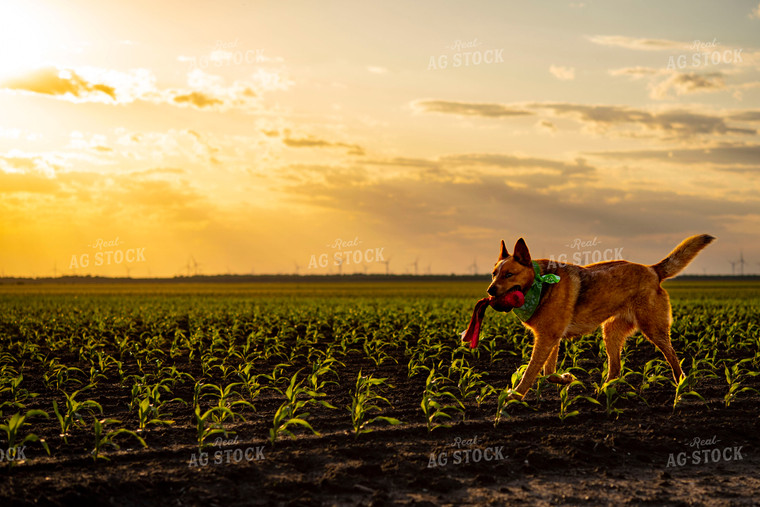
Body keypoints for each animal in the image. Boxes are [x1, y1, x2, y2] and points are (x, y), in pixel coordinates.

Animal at [486, 235, 720, 400]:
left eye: (509, 275)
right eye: (493, 274)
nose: (489, 290)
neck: (540, 285)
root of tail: (652, 270)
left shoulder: (547, 339)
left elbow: (531, 371)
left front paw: (514, 397)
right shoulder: (550, 338)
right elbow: (547, 371)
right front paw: (566, 379)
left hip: (654, 329)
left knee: (673, 357)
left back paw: (681, 387)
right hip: (611, 332)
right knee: (616, 367)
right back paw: (604, 390)